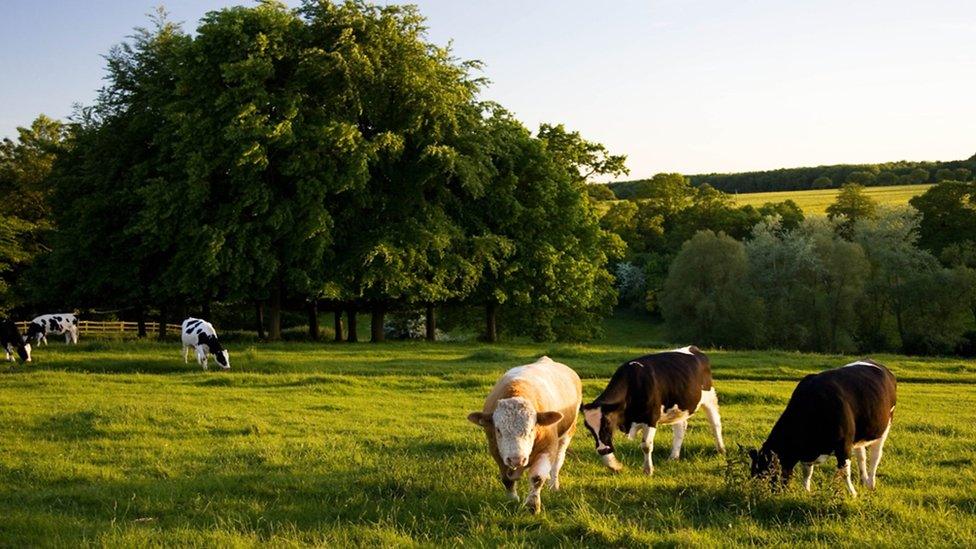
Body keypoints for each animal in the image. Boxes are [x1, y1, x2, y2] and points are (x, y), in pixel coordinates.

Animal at [468, 356, 584, 512]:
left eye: (531, 429)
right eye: (498, 429)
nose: (516, 459)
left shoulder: (547, 448)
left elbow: (537, 478)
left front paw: (532, 505)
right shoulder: (496, 451)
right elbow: (507, 479)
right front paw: (512, 500)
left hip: (567, 433)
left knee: (557, 462)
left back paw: (553, 484)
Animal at [580, 346, 724, 476]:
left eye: (607, 424)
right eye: (588, 428)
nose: (601, 450)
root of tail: (694, 349)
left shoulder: (651, 418)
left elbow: (646, 446)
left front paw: (648, 470)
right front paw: (615, 466)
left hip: (710, 397)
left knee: (715, 424)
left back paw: (721, 450)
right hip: (678, 407)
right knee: (680, 428)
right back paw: (673, 457)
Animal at [748, 358, 900, 494]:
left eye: (769, 474)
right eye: (755, 475)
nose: (763, 494)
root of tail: (879, 365)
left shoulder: (844, 445)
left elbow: (844, 471)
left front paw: (852, 494)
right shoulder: (807, 454)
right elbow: (807, 472)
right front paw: (806, 491)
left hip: (884, 427)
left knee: (875, 456)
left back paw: (870, 484)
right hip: (860, 434)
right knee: (861, 456)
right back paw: (864, 480)